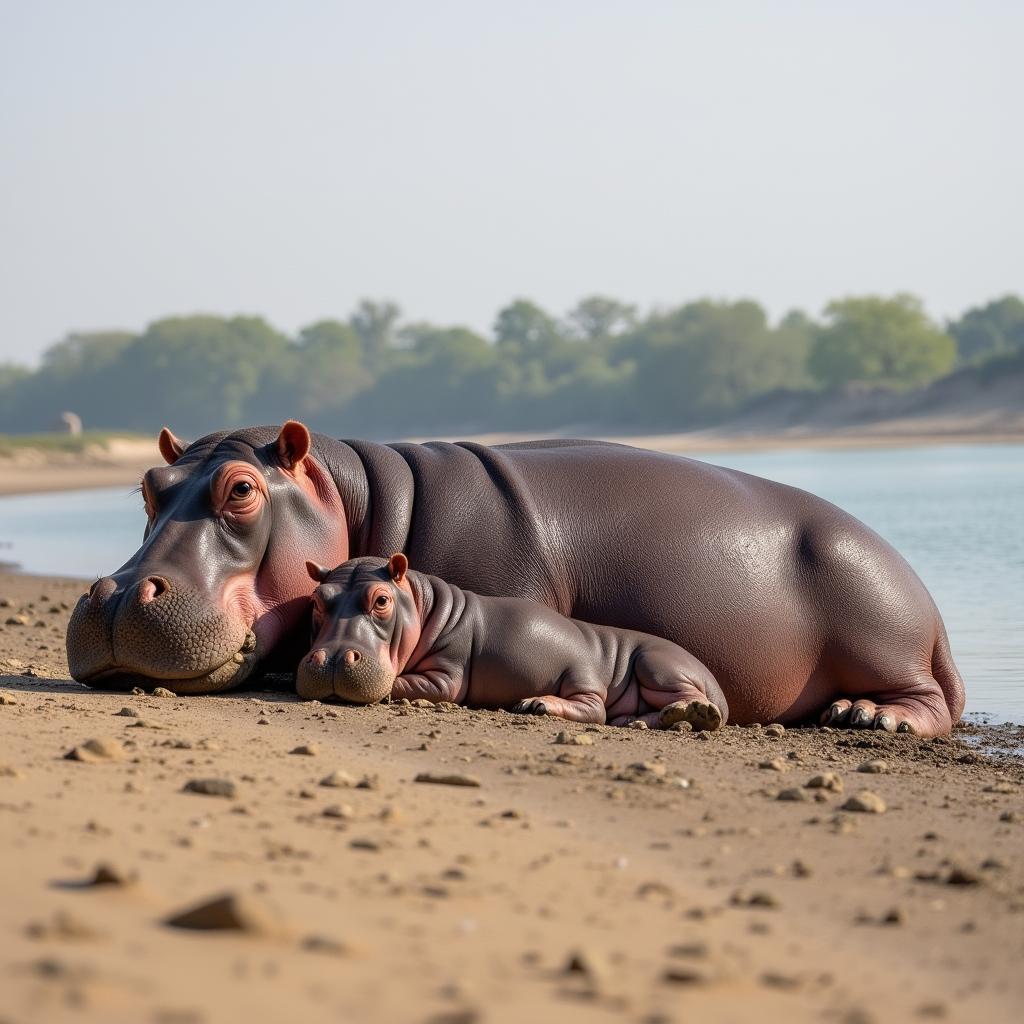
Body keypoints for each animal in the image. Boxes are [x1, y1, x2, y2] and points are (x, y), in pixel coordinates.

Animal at [296, 552, 729, 729]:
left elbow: (403, 682)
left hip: (648, 665)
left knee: (598, 708)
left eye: (381, 600)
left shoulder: (446, 676)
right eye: (317, 600)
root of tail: (719, 690)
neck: (424, 605)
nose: (330, 660)